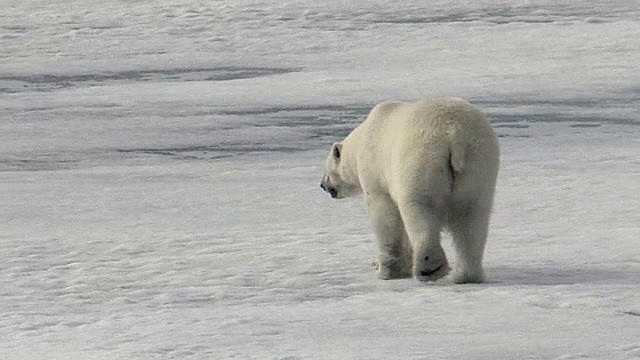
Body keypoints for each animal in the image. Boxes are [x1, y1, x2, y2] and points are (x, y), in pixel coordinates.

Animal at [320, 97, 500, 282]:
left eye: (326, 169)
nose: (322, 185)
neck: (362, 139)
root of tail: (455, 134)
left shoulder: (377, 175)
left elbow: (385, 218)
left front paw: (386, 270)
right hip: (478, 164)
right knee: (472, 217)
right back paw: (466, 275)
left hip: (421, 162)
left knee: (420, 209)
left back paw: (428, 268)